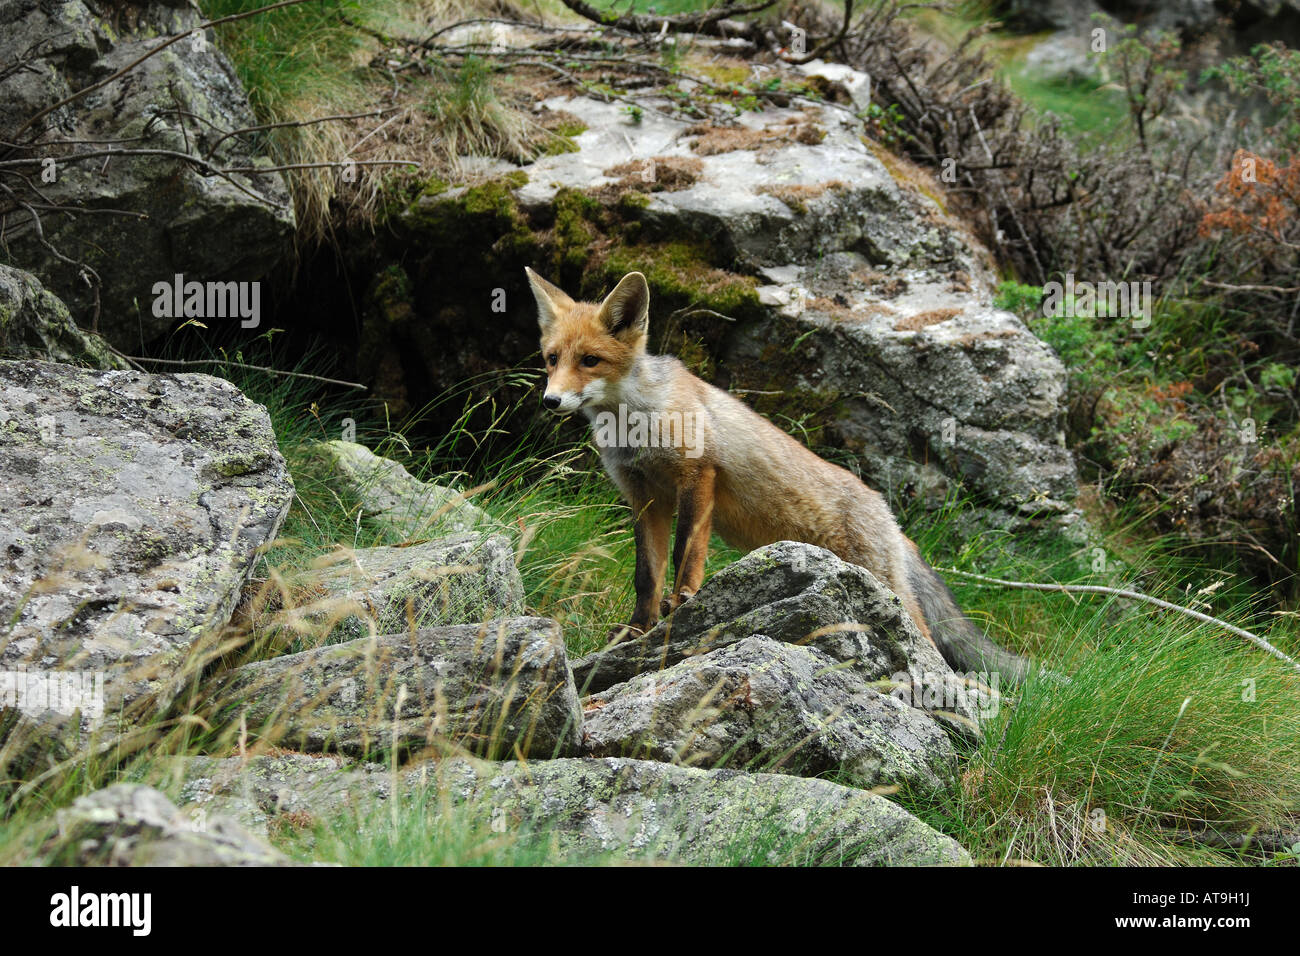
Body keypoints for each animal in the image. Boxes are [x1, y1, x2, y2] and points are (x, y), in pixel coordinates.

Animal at [526, 266, 1034, 682]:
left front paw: (683, 602)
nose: (550, 401)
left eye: (590, 360)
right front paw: (637, 631)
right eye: (552, 358)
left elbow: (685, 552)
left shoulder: (698, 475)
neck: (636, 424)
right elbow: (645, 575)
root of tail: (890, 517)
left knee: (927, 641)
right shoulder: (645, 498)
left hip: (883, 583)